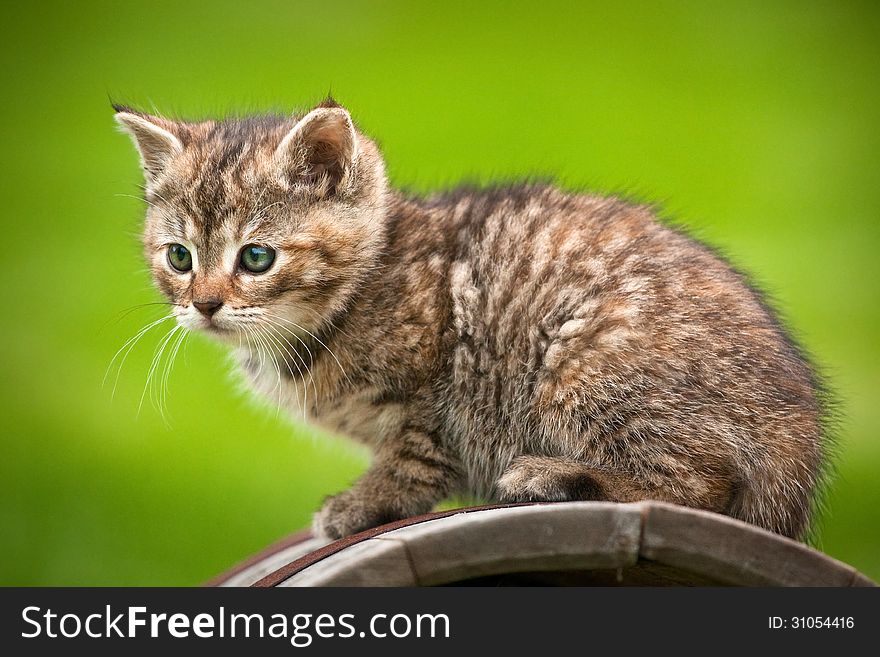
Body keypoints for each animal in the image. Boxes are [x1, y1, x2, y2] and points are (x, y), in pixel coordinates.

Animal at [113, 97, 828, 540]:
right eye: (179, 257)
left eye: (256, 257)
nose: (205, 304)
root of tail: (798, 437)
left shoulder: (430, 391)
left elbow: (413, 458)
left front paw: (362, 504)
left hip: (584, 364)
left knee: (704, 485)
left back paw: (552, 475)